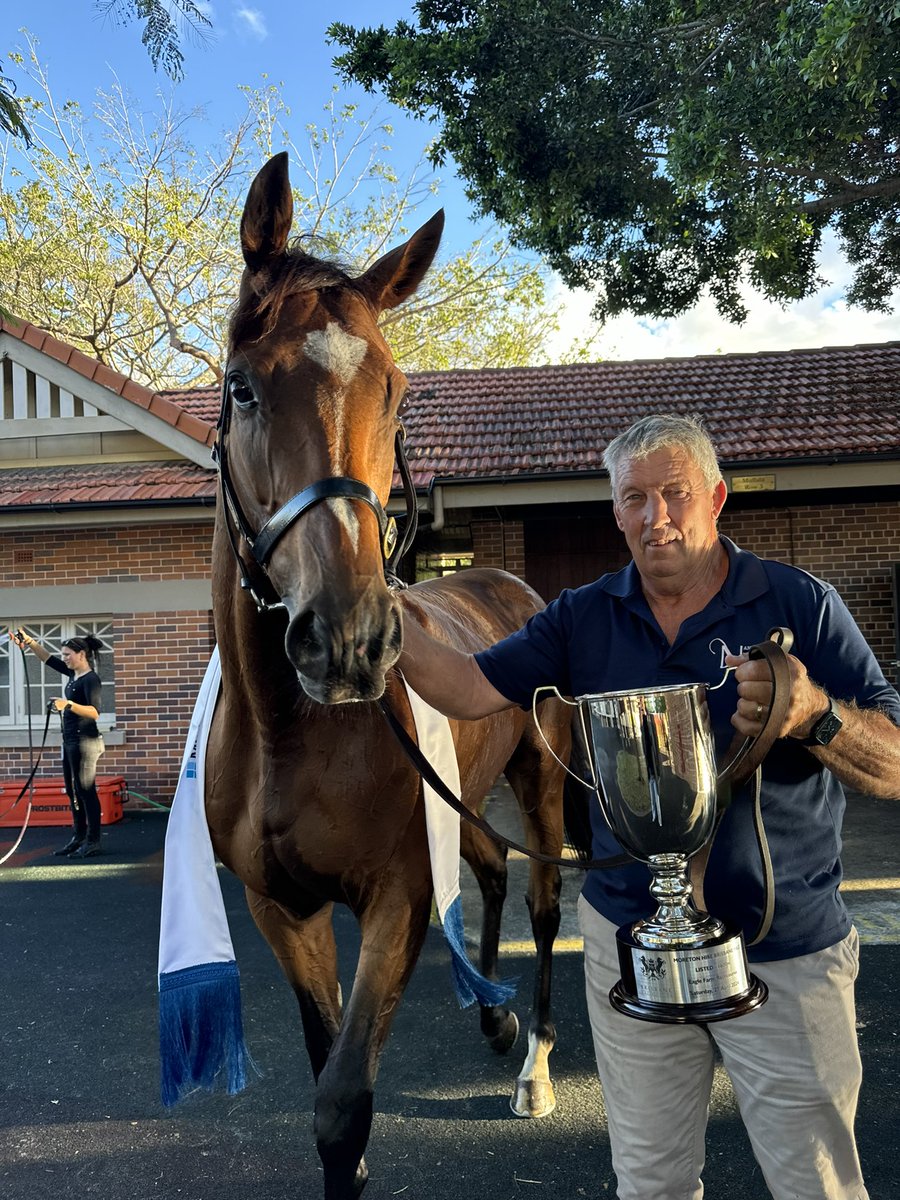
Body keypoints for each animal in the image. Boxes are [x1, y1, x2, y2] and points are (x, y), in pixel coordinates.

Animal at [204, 152, 571, 1200]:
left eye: (398, 392)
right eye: (242, 387)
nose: (351, 639)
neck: (290, 736)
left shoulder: (394, 901)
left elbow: (344, 1102)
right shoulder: (280, 909)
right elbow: (326, 1064)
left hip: (539, 784)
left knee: (541, 900)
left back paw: (534, 1061)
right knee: (489, 871)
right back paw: (491, 1013)